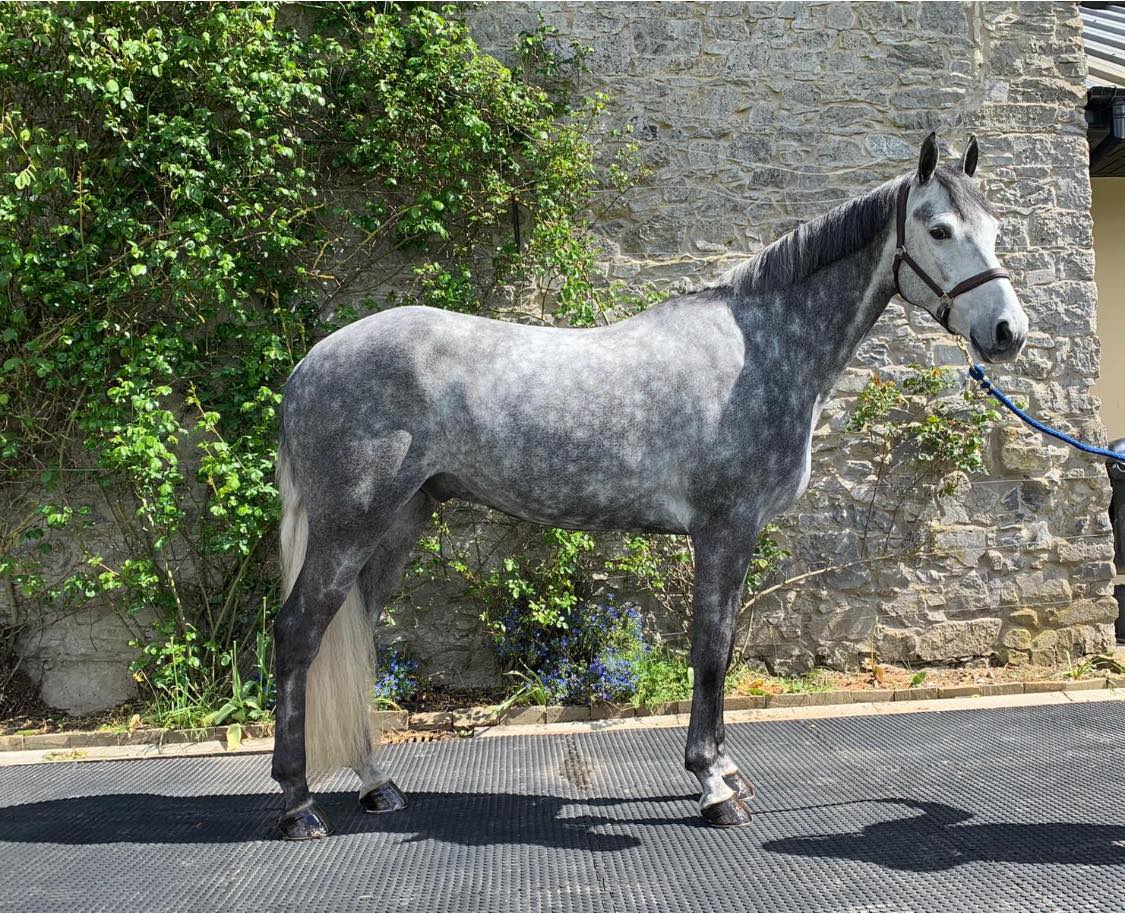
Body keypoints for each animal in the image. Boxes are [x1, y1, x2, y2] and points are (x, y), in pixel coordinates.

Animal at [271, 133, 1028, 839]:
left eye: (995, 228)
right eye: (938, 229)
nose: (1006, 333)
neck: (762, 348)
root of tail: (310, 364)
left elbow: (721, 647)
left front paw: (726, 771)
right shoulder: (723, 530)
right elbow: (710, 651)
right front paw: (713, 785)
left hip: (399, 524)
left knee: (356, 640)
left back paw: (377, 784)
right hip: (350, 526)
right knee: (297, 633)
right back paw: (299, 807)